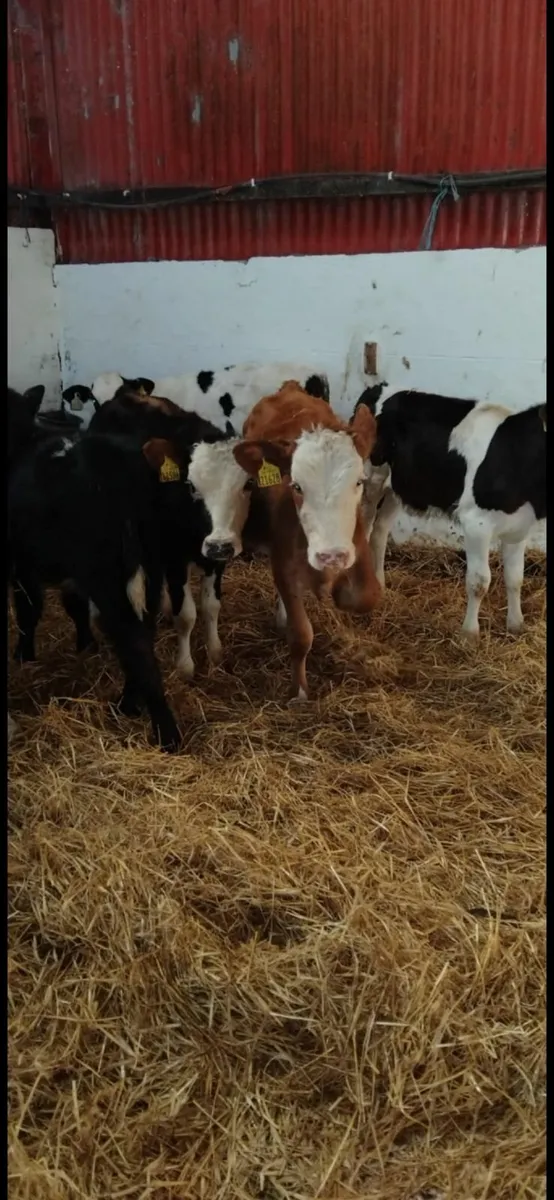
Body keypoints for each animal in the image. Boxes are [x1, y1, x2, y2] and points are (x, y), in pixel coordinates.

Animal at [188, 382, 382, 699]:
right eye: (297, 486)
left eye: (359, 482)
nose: (332, 555)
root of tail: (292, 387)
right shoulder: (284, 565)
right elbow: (301, 634)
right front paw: (299, 691)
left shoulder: (356, 550)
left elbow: (365, 597)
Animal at [354, 384, 546, 639]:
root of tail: (377, 387)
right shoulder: (477, 524)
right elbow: (479, 582)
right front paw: (469, 633)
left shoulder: (519, 526)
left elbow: (515, 578)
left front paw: (516, 625)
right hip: (372, 477)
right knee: (365, 525)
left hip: (398, 487)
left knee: (380, 531)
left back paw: (380, 584)